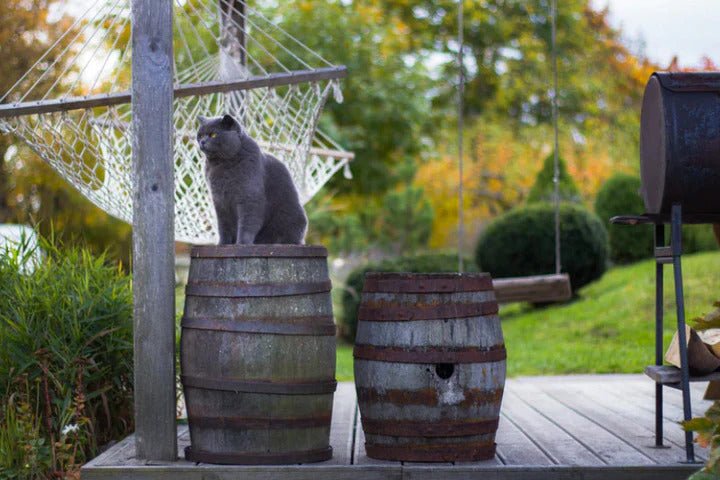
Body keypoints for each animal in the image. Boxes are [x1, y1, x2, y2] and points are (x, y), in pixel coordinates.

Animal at [197, 115, 306, 246]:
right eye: (200, 136)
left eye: (213, 135)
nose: (202, 141)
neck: (221, 164)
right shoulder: (220, 202)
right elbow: (223, 227)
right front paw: (222, 244)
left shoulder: (249, 197)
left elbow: (247, 223)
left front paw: (242, 243)